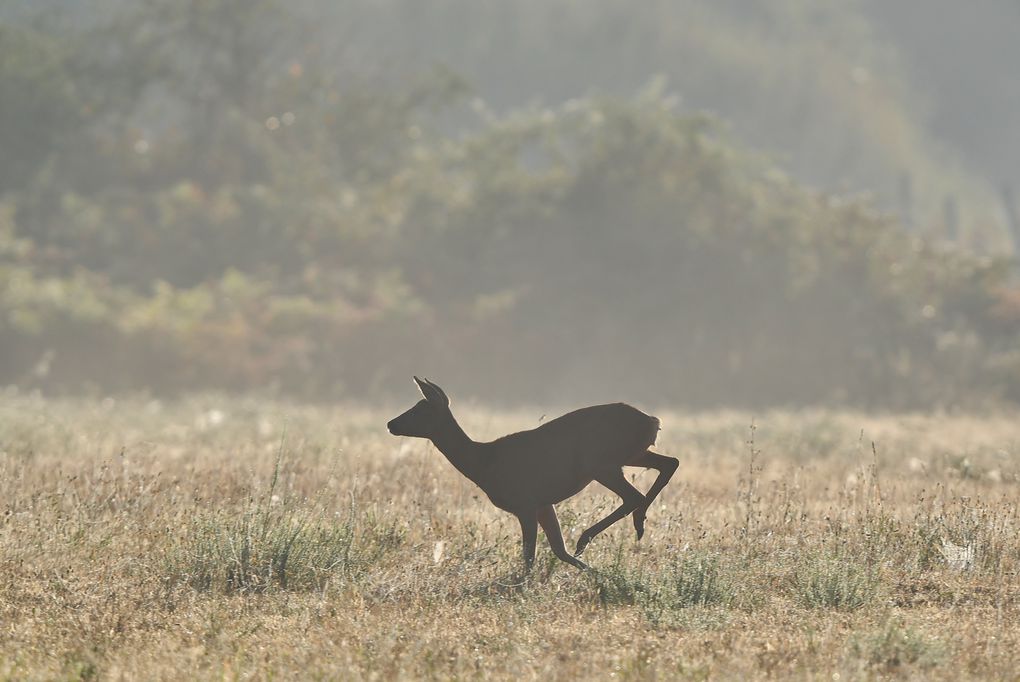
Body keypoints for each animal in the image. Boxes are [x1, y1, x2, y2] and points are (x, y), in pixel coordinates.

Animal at [383, 377, 677, 570]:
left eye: (420, 410)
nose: (390, 424)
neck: (483, 463)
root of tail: (653, 421)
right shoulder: (543, 504)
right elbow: (558, 550)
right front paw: (597, 574)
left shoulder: (524, 502)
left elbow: (530, 555)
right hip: (631, 455)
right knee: (670, 463)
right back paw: (633, 526)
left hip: (603, 463)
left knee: (634, 495)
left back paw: (593, 535)